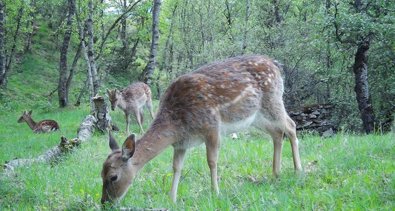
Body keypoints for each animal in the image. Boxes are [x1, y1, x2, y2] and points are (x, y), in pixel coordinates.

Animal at [101, 55, 304, 204]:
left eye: (113, 177)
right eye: (100, 174)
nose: (105, 202)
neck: (178, 123)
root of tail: (276, 65)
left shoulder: (212, 127)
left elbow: (212, 161)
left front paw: (216, 192)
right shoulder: (181, 144)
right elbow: (176, 167)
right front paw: (172, 198)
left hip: (273, 101)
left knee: (291, 126)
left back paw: (298, 170)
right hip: (257, 117)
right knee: (277, 133)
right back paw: (276, 173)